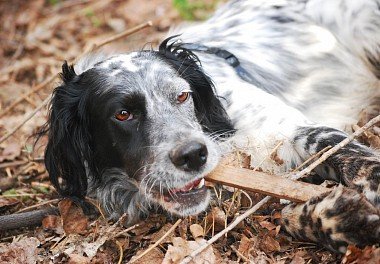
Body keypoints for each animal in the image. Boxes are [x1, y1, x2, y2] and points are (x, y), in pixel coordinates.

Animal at [42, 0, 380, 252]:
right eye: (123, 114)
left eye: (182, 95)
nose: (193, 155)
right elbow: (283, 213)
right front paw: (342, 218)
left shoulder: (293, 130)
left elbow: (355, 158)